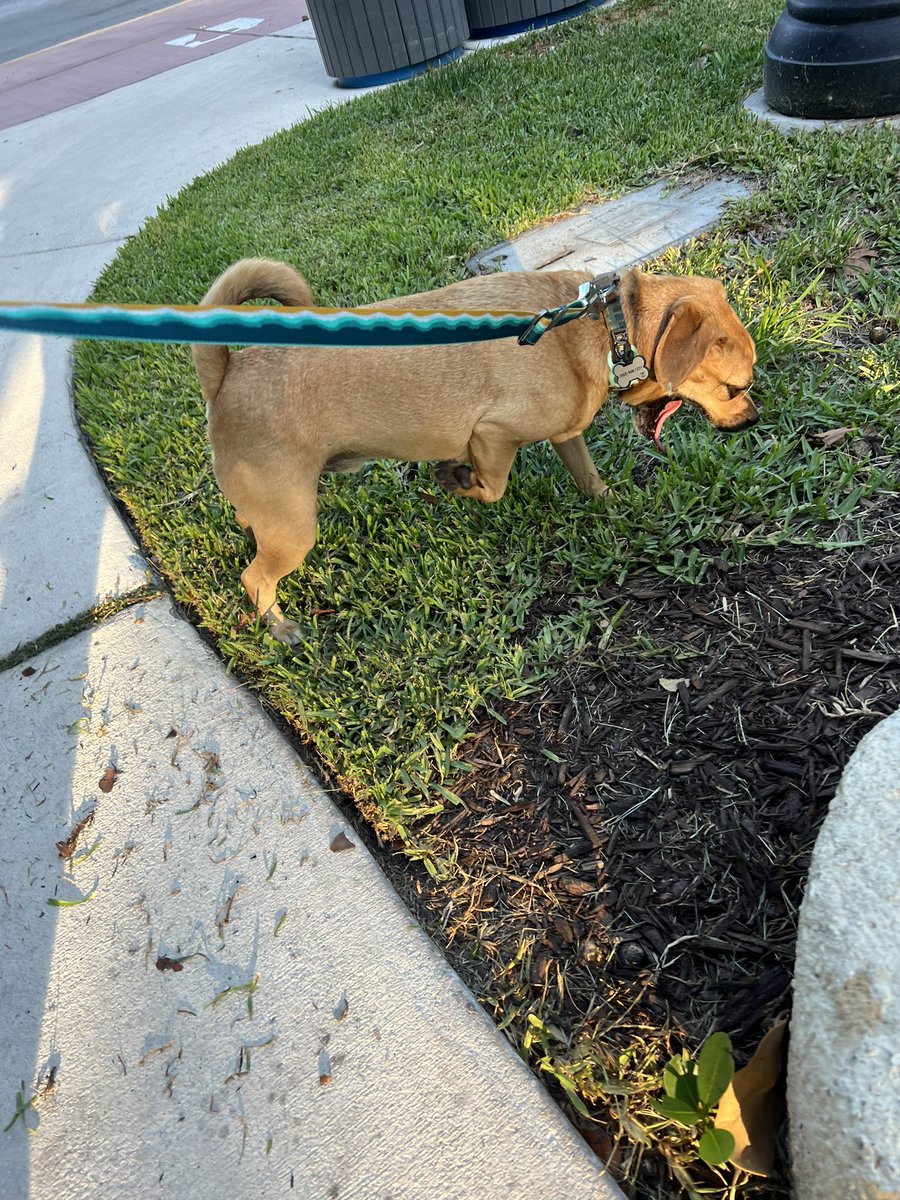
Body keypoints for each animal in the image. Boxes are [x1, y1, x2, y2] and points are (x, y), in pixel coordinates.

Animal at [194, 259, 758, 643]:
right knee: (255, 576)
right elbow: (492, 488)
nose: (752, 420)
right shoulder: (492, 435)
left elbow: (588, 476)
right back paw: (278, 625)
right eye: (734, 388)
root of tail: (226, 376)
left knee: (249, 527)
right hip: (295, 531)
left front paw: (611, 505)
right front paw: (455, 479)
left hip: (276, 511)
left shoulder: (565, 434)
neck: (606, 325)